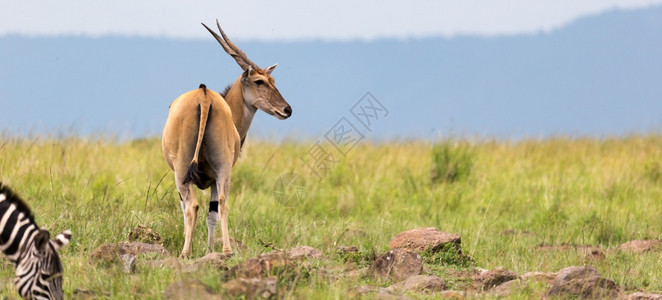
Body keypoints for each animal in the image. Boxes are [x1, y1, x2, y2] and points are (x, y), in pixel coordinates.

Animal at [162, 20, 292, 258]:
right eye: (260, 81)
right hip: (221, 170)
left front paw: (203, 249)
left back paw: (187, 252)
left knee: (193, 206)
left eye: (272, 80)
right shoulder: (215, 177)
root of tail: (204, 96)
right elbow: (213, 211)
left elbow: (195, 210)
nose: (287, 109)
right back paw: (227, 250)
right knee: (221, 203)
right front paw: (209, 250)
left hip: (184, 170)